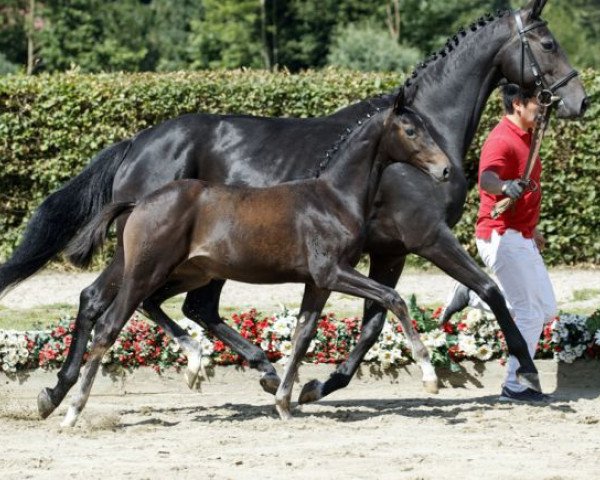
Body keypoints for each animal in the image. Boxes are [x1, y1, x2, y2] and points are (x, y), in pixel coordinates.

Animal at [55, 95, 450, 426]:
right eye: (411, 131)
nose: (444, 170)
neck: (333, 198)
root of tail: (140, 203)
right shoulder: (333, 272)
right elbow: (393, 298)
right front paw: (430, 376)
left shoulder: (318, 282)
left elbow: (302, 335)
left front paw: (284, 402)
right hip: (145, 272)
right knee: (109, 325)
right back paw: (71, 410)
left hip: (190, 273)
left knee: (160, 305)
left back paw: (193, 363)